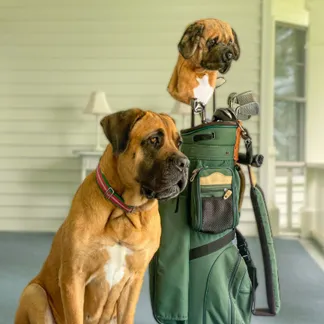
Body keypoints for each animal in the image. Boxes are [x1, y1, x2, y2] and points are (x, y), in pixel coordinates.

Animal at [14, 109, 190, 324]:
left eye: (179, 143)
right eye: (154, 139)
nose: (185, 163)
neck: (124, 211)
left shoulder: (134, 281)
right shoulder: (73, 278)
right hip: (34, 292)